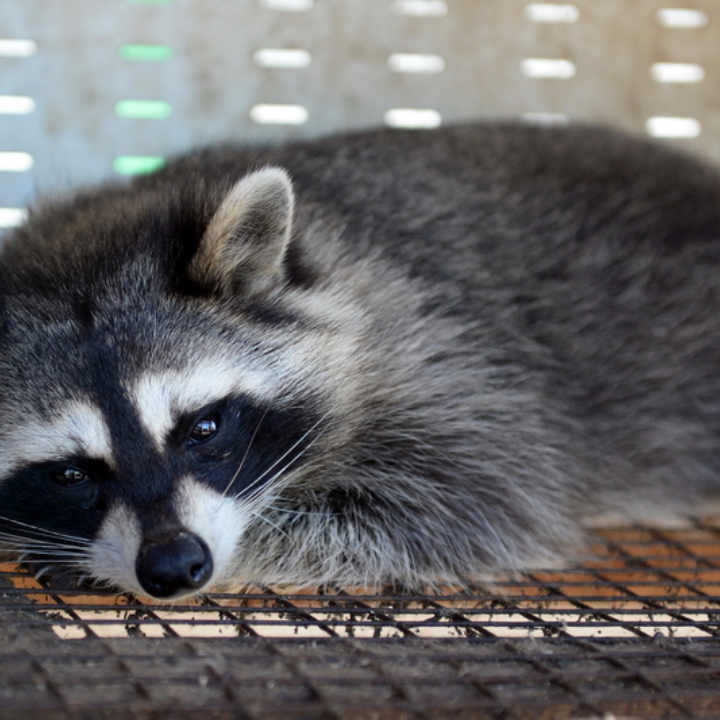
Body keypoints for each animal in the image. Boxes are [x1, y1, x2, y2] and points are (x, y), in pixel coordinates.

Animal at [1, 125, 720, 600]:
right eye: (69, 474)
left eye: (204, 428)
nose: (176, 567)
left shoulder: (442, 354)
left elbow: (466, 498)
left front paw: (250, 548)